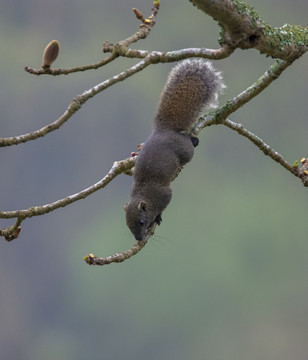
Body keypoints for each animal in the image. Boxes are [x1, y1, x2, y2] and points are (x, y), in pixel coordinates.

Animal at [124, 57, 224, 240]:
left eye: (141, 222)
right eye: (128, 225)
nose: (139, 238)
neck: (144, 194)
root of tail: (164, 130)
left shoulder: (164, 195)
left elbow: (164, 204)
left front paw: (158, 216)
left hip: (185, 151)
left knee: (189, 148)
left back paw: (193, 140)